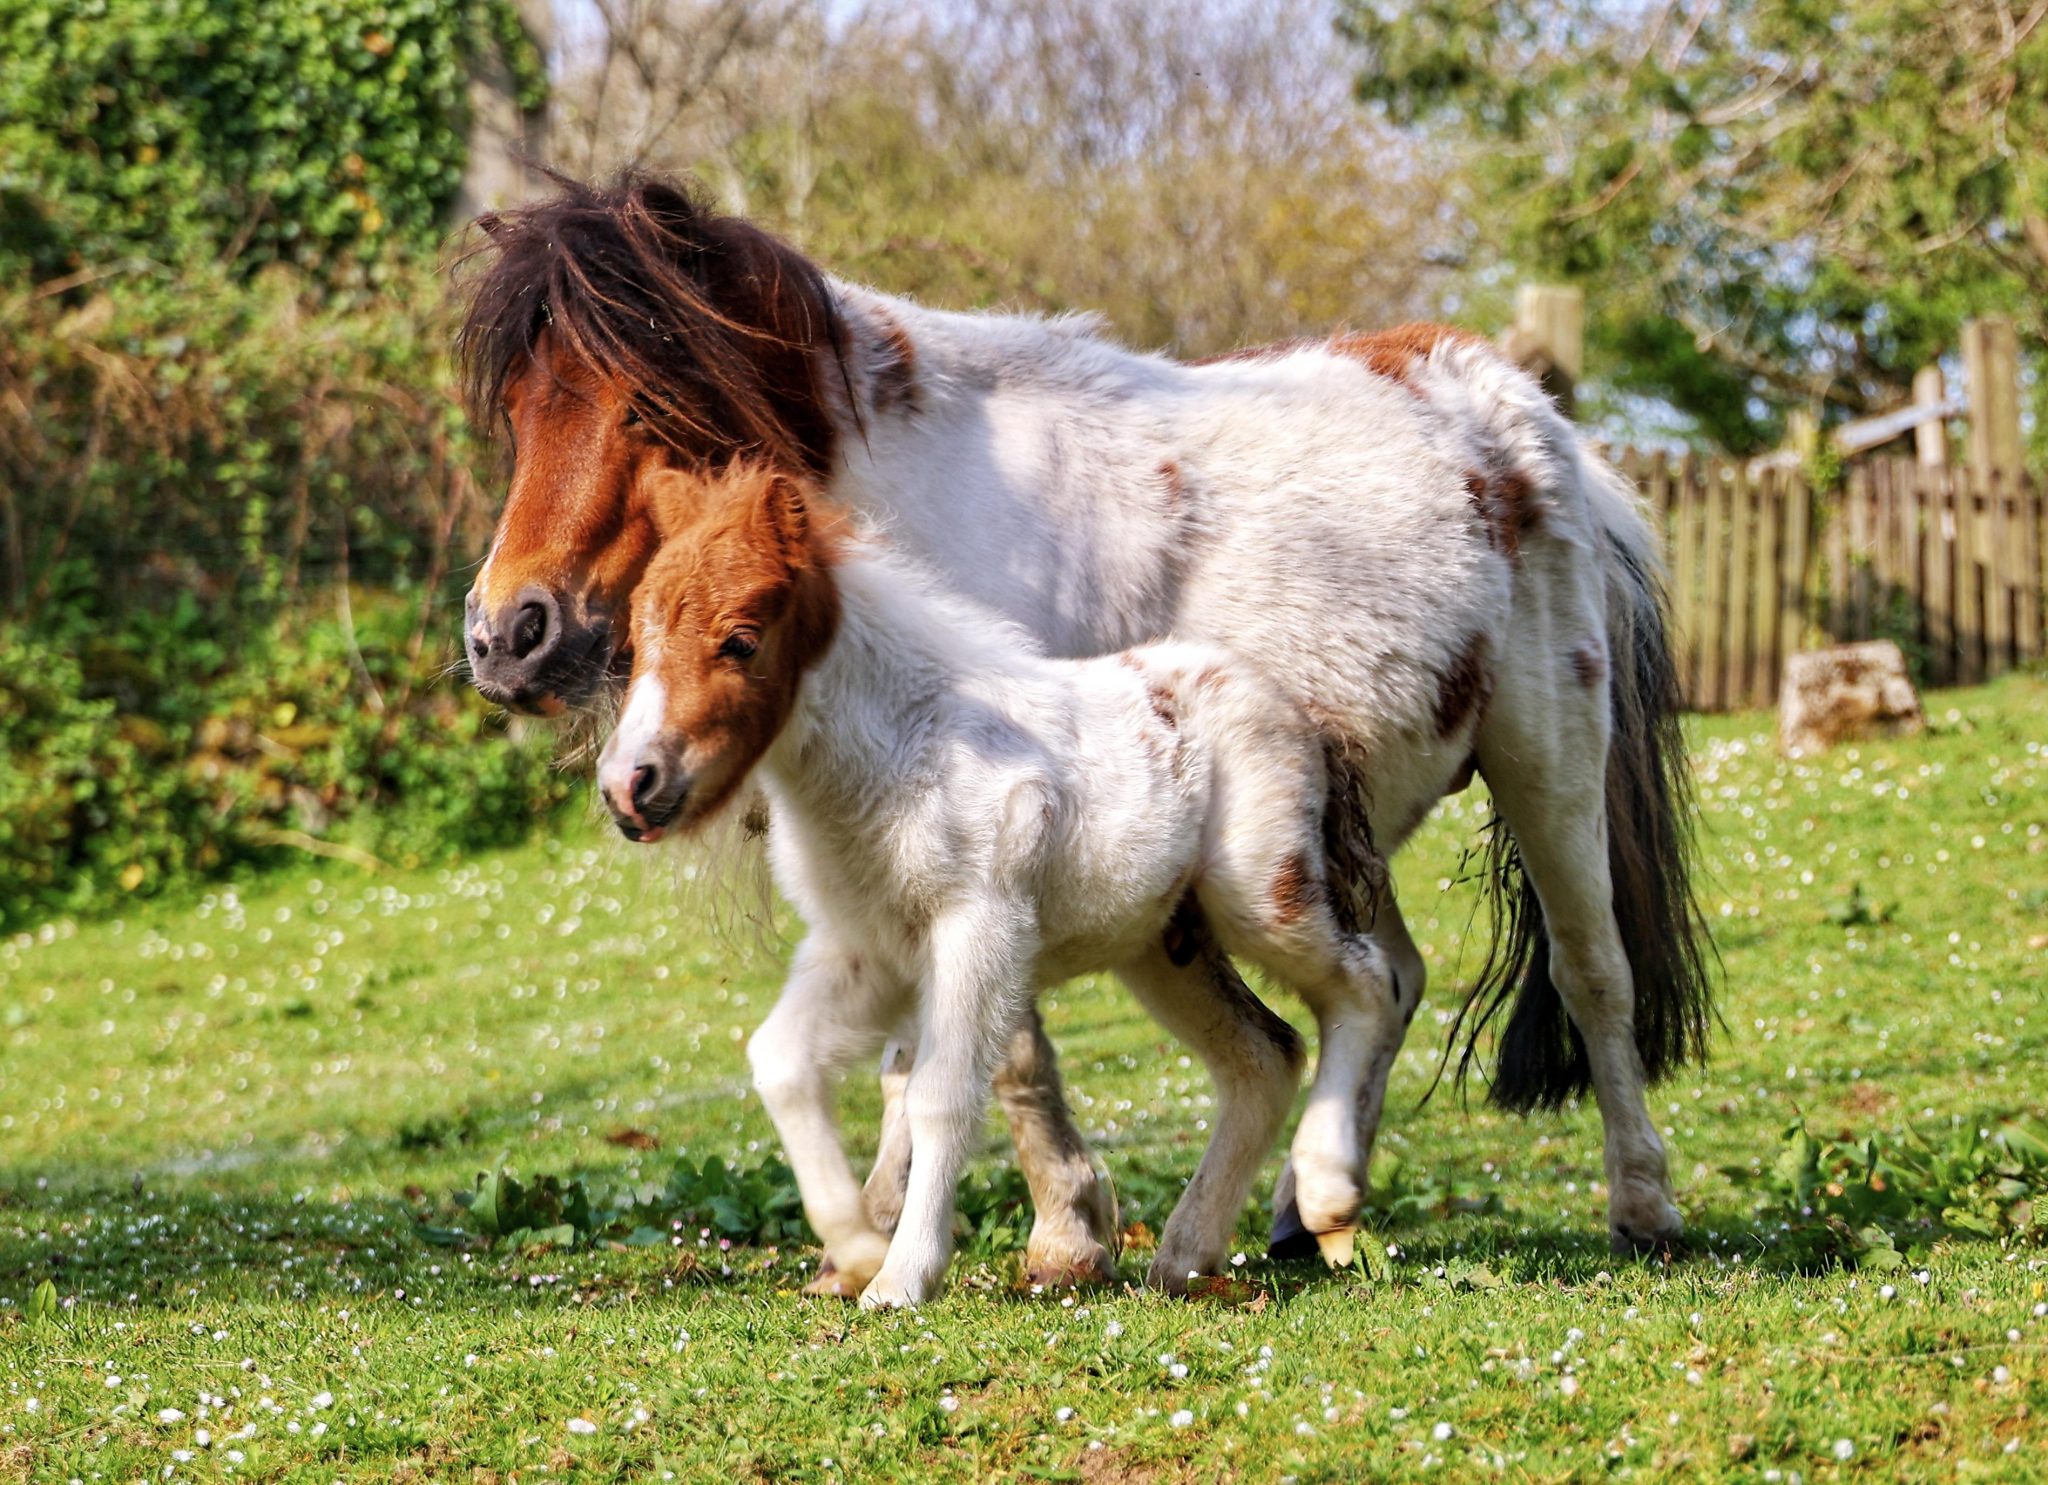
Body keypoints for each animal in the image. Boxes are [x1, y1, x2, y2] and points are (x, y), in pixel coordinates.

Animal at [598, 462, 1408, 1305]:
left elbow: (941, 1095)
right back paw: (1186, 1254)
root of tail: (1295, 706)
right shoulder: (868, 948)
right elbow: (783, 1062)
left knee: (1366, 983)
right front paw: (854, 1248)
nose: (629, 786)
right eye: (637, 639)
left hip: (1260, 896)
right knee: (1265, 1056)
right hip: (1161, 946)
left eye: (741, 640)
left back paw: (1326, 1192)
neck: (902, 748)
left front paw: (902, 1276)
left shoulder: (977, 926)